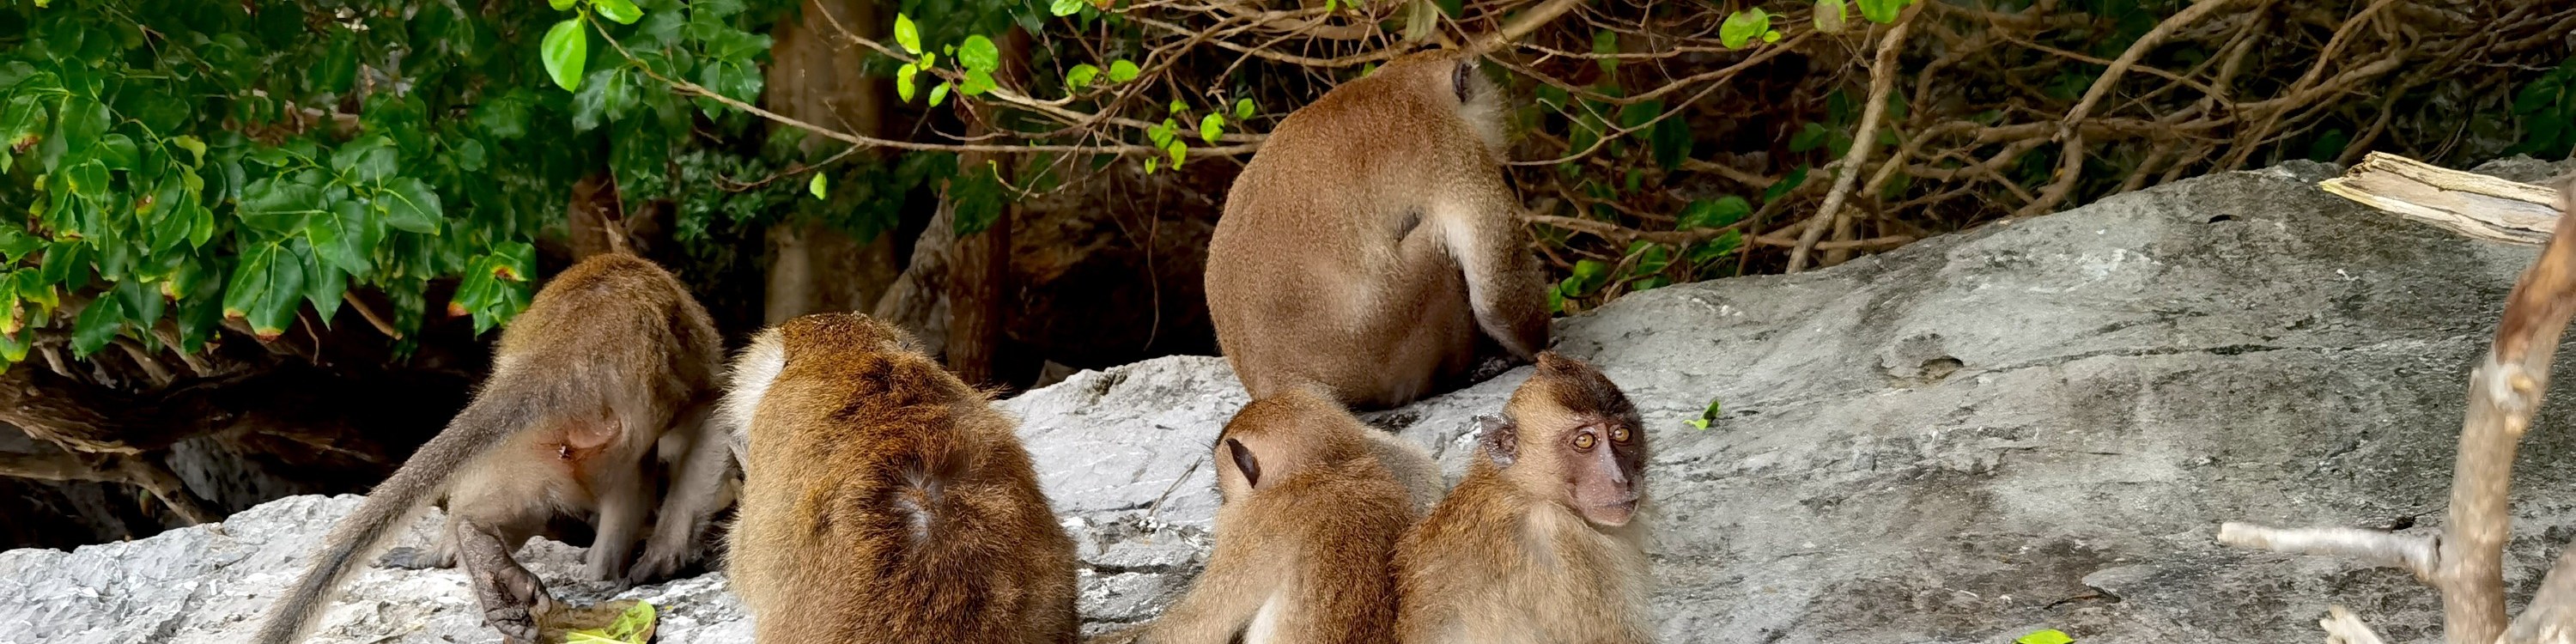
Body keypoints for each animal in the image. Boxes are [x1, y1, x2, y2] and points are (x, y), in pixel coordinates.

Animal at [252, 255, 732, 644]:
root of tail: (562, 352)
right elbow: (711, 420)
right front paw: (662, 556)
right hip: (606, 438)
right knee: (634, 476)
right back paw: (599, 570)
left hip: (530, 443)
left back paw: (472, 550)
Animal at [1206, 52, 1546, 412]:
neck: (1404, 84)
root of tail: (1275, 380)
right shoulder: (1452, 147)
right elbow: (1495, 289)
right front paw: (1533, 349)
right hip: (1386, 345)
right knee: (1437, 245)